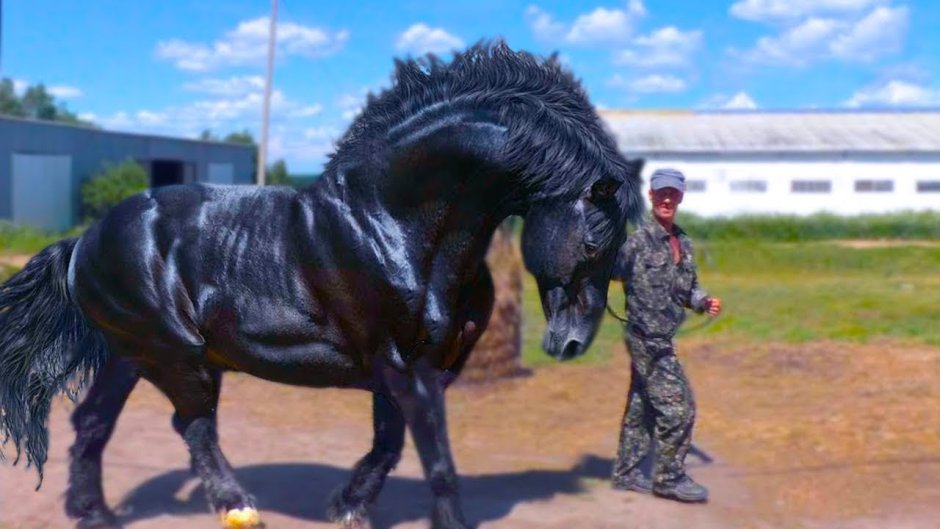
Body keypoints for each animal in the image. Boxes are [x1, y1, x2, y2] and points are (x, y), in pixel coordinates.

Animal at [0, 41, 644, 529]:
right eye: (595, 244)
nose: (571, 342)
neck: (393, 224)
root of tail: (83, 241)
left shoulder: (407, 371)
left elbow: (389, 445)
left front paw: (348, 506)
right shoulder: (408, 369)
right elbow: (435, 459)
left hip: (128, 355)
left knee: (93, 424)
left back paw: (94, 513)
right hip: (175, 356)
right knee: (192, 426)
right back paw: (236, 508)